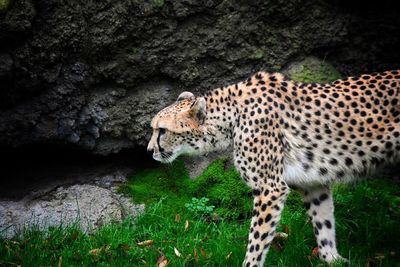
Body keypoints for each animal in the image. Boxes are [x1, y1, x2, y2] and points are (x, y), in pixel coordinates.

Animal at [148, 70, 400, 266]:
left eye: (162, 130)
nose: (150, 151)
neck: (231, 117)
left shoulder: (270, 188)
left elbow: (256, 241)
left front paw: (249, 265)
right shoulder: (313, 184)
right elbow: (323, 223)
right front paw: (334, 260)